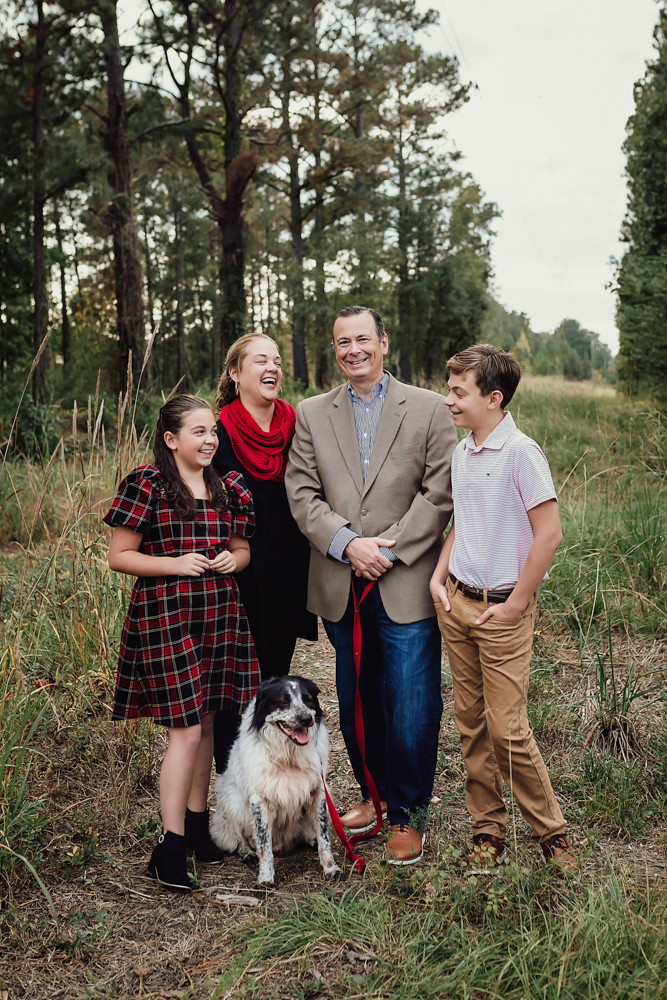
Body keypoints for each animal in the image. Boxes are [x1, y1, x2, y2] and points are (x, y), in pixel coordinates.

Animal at [211, 680, 342, 884]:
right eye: (284, 701)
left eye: (308, 699)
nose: (306, 719)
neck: (288, 754)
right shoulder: (259, 800)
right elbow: (264, 845)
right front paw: (265, 877)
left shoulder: (318, 793)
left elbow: (324, 836)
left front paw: (330, 867)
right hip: (232, 803)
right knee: (236, 839)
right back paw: (249, 854)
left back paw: (311, 841)